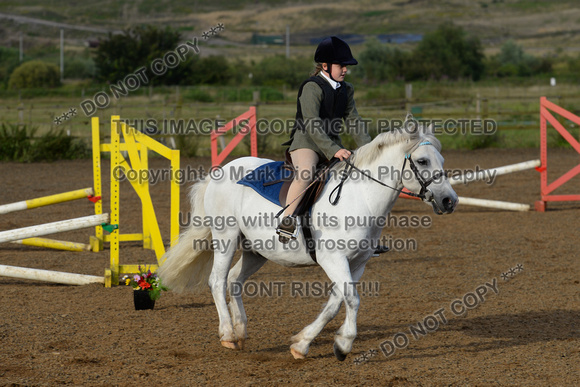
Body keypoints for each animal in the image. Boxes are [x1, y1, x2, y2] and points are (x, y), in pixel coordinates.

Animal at [157, 120, 458, 360]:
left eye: (442, 162)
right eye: (422, 161)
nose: (449, 201)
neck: (361, 198)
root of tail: (221, 170)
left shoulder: (357, 264)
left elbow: (335, 303)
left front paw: (302, 344)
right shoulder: (333, 259)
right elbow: (352, 300)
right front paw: (344, 345)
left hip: (257, 251)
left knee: (233, 280)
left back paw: (241, 330)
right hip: (226, 237)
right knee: (217, 281)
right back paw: (228, 335)